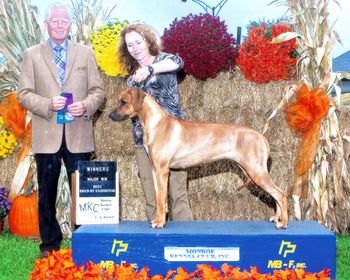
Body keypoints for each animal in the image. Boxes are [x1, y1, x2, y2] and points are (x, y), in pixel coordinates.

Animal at [108, 88, 288, 230]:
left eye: (123, 101)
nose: (110, 115)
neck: (156, 123)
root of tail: (260, 136)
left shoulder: (161, 170)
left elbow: (160, 199)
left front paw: (159, 222)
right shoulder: (155, 170)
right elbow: (161, 198)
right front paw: (160, 218)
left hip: (256, 171)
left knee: (281, 194)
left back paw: (283, 222)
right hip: (251, 170)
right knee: (277, 193)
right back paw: (277, 217)